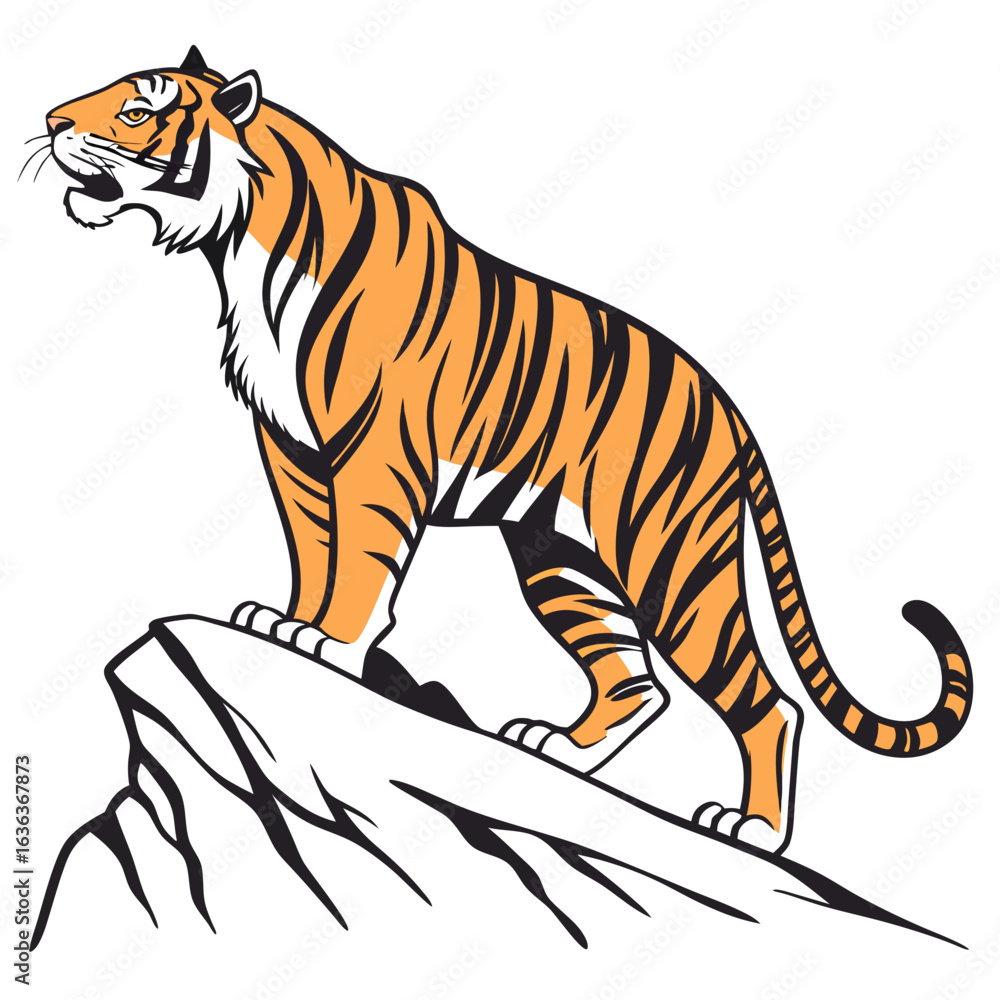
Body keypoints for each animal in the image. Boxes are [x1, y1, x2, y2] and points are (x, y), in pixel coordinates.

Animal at [38, 46, 972, 853]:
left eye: (135, 110)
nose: (46, 118)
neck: (242, 249)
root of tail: (727, 404)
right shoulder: (291, 448)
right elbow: (313, 549)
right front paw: (281, 621)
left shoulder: (372, 451)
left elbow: (360, 560)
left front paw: (326, 642)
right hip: (560, 558)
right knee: (634, 681)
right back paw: (555, 744)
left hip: (670, 561)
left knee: (764, 701)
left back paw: (750, 828)